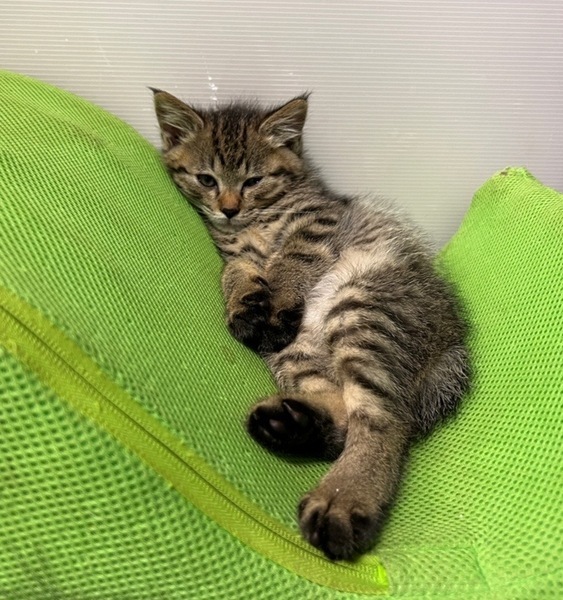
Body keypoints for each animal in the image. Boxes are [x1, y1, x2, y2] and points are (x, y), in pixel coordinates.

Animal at [152, 90, 471, 560]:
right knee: (342, 408)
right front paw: (246, 305)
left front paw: (277, 297)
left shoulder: (318, 220)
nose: (228, 209)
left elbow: (292, 258)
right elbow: (236, 272)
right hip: (296, 349)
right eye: (206, 179)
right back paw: (291, 425)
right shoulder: (236, 252)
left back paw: (344, 499)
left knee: (385, 419)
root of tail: (452, 340)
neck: (258, 222)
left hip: (363, 308)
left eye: (253, 180)